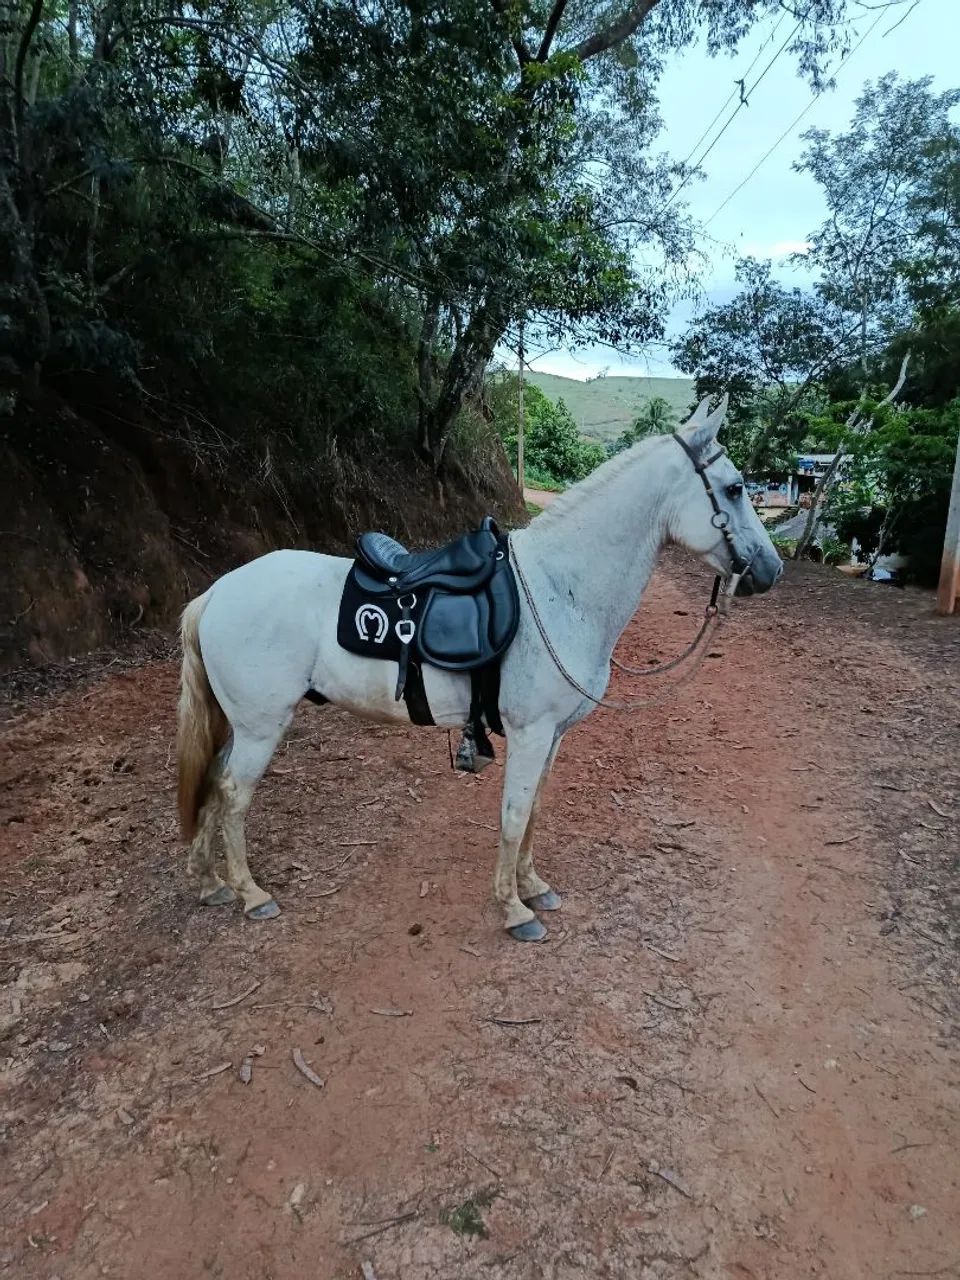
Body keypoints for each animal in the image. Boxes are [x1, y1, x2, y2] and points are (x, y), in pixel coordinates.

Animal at [175, 394, 782, 941]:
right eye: (735, 488)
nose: (771, 569)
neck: (561, 588)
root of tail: (217, 592)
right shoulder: (530, 733)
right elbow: (513, 815)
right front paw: (514, 910)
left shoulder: (554, 736)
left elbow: (534, 809)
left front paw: (533, 886)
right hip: (262, 726)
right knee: (233, 794)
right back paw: (251, 894)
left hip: (240, 725)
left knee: (212, 784)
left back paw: (210, 885)